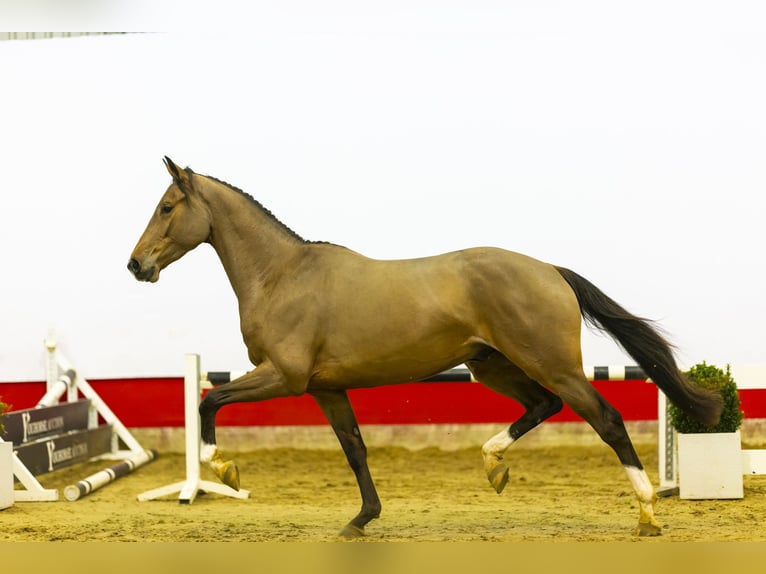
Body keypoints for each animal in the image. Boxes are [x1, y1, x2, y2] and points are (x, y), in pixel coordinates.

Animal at [129, 159, 724, 540]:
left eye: (166, 206)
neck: (282, 277)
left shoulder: (285, 377)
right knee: (543, 405)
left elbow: (208, 401)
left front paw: (225, 470)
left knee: (606, 419)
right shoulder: (326, 388)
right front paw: (361, 520)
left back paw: (647, 514)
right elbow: (355, 449)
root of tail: (549, 270)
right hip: (492, 366)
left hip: (553, 365)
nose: (136, 265)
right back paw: (494, 466)